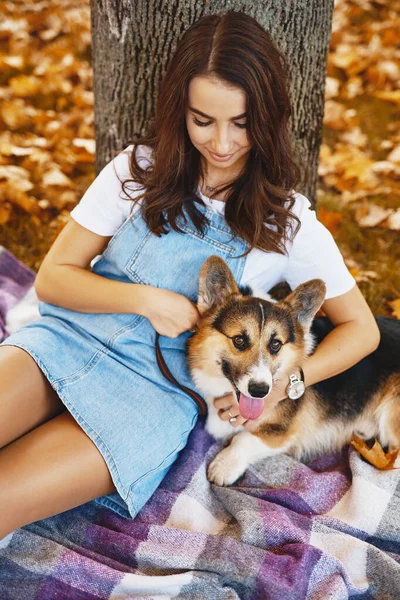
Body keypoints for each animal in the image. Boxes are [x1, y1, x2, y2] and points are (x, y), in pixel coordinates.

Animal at [187, 255, 400, 486]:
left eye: (276, 344)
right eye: (239, 340)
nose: (260, 391)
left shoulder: (283, 433)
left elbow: (243, 438)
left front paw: (224, 466)